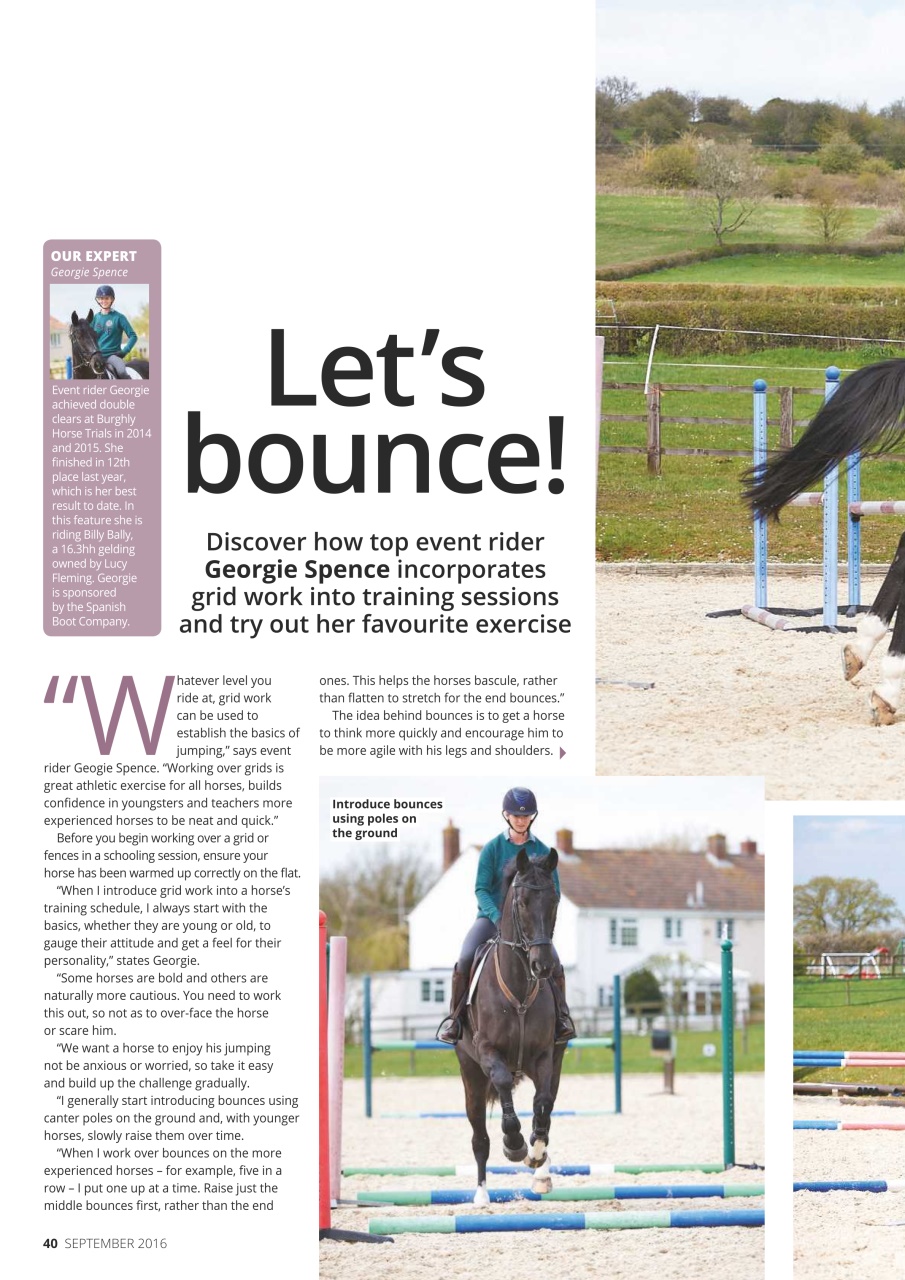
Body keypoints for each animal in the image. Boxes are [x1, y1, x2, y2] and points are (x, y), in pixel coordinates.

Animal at [456, 847, 566, 1206]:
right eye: (521, 902)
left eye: (554, 900)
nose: (543, 965)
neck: (518, 990)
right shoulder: (487, 1052)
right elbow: (503, 1081)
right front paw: (514, 1143)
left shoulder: (544, 1057)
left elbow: (542, 1105)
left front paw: (536, 1153)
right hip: (471, 1075)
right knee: (479, 1135)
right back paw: (481, 1194)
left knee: (547, 1108)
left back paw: (541, 1171)